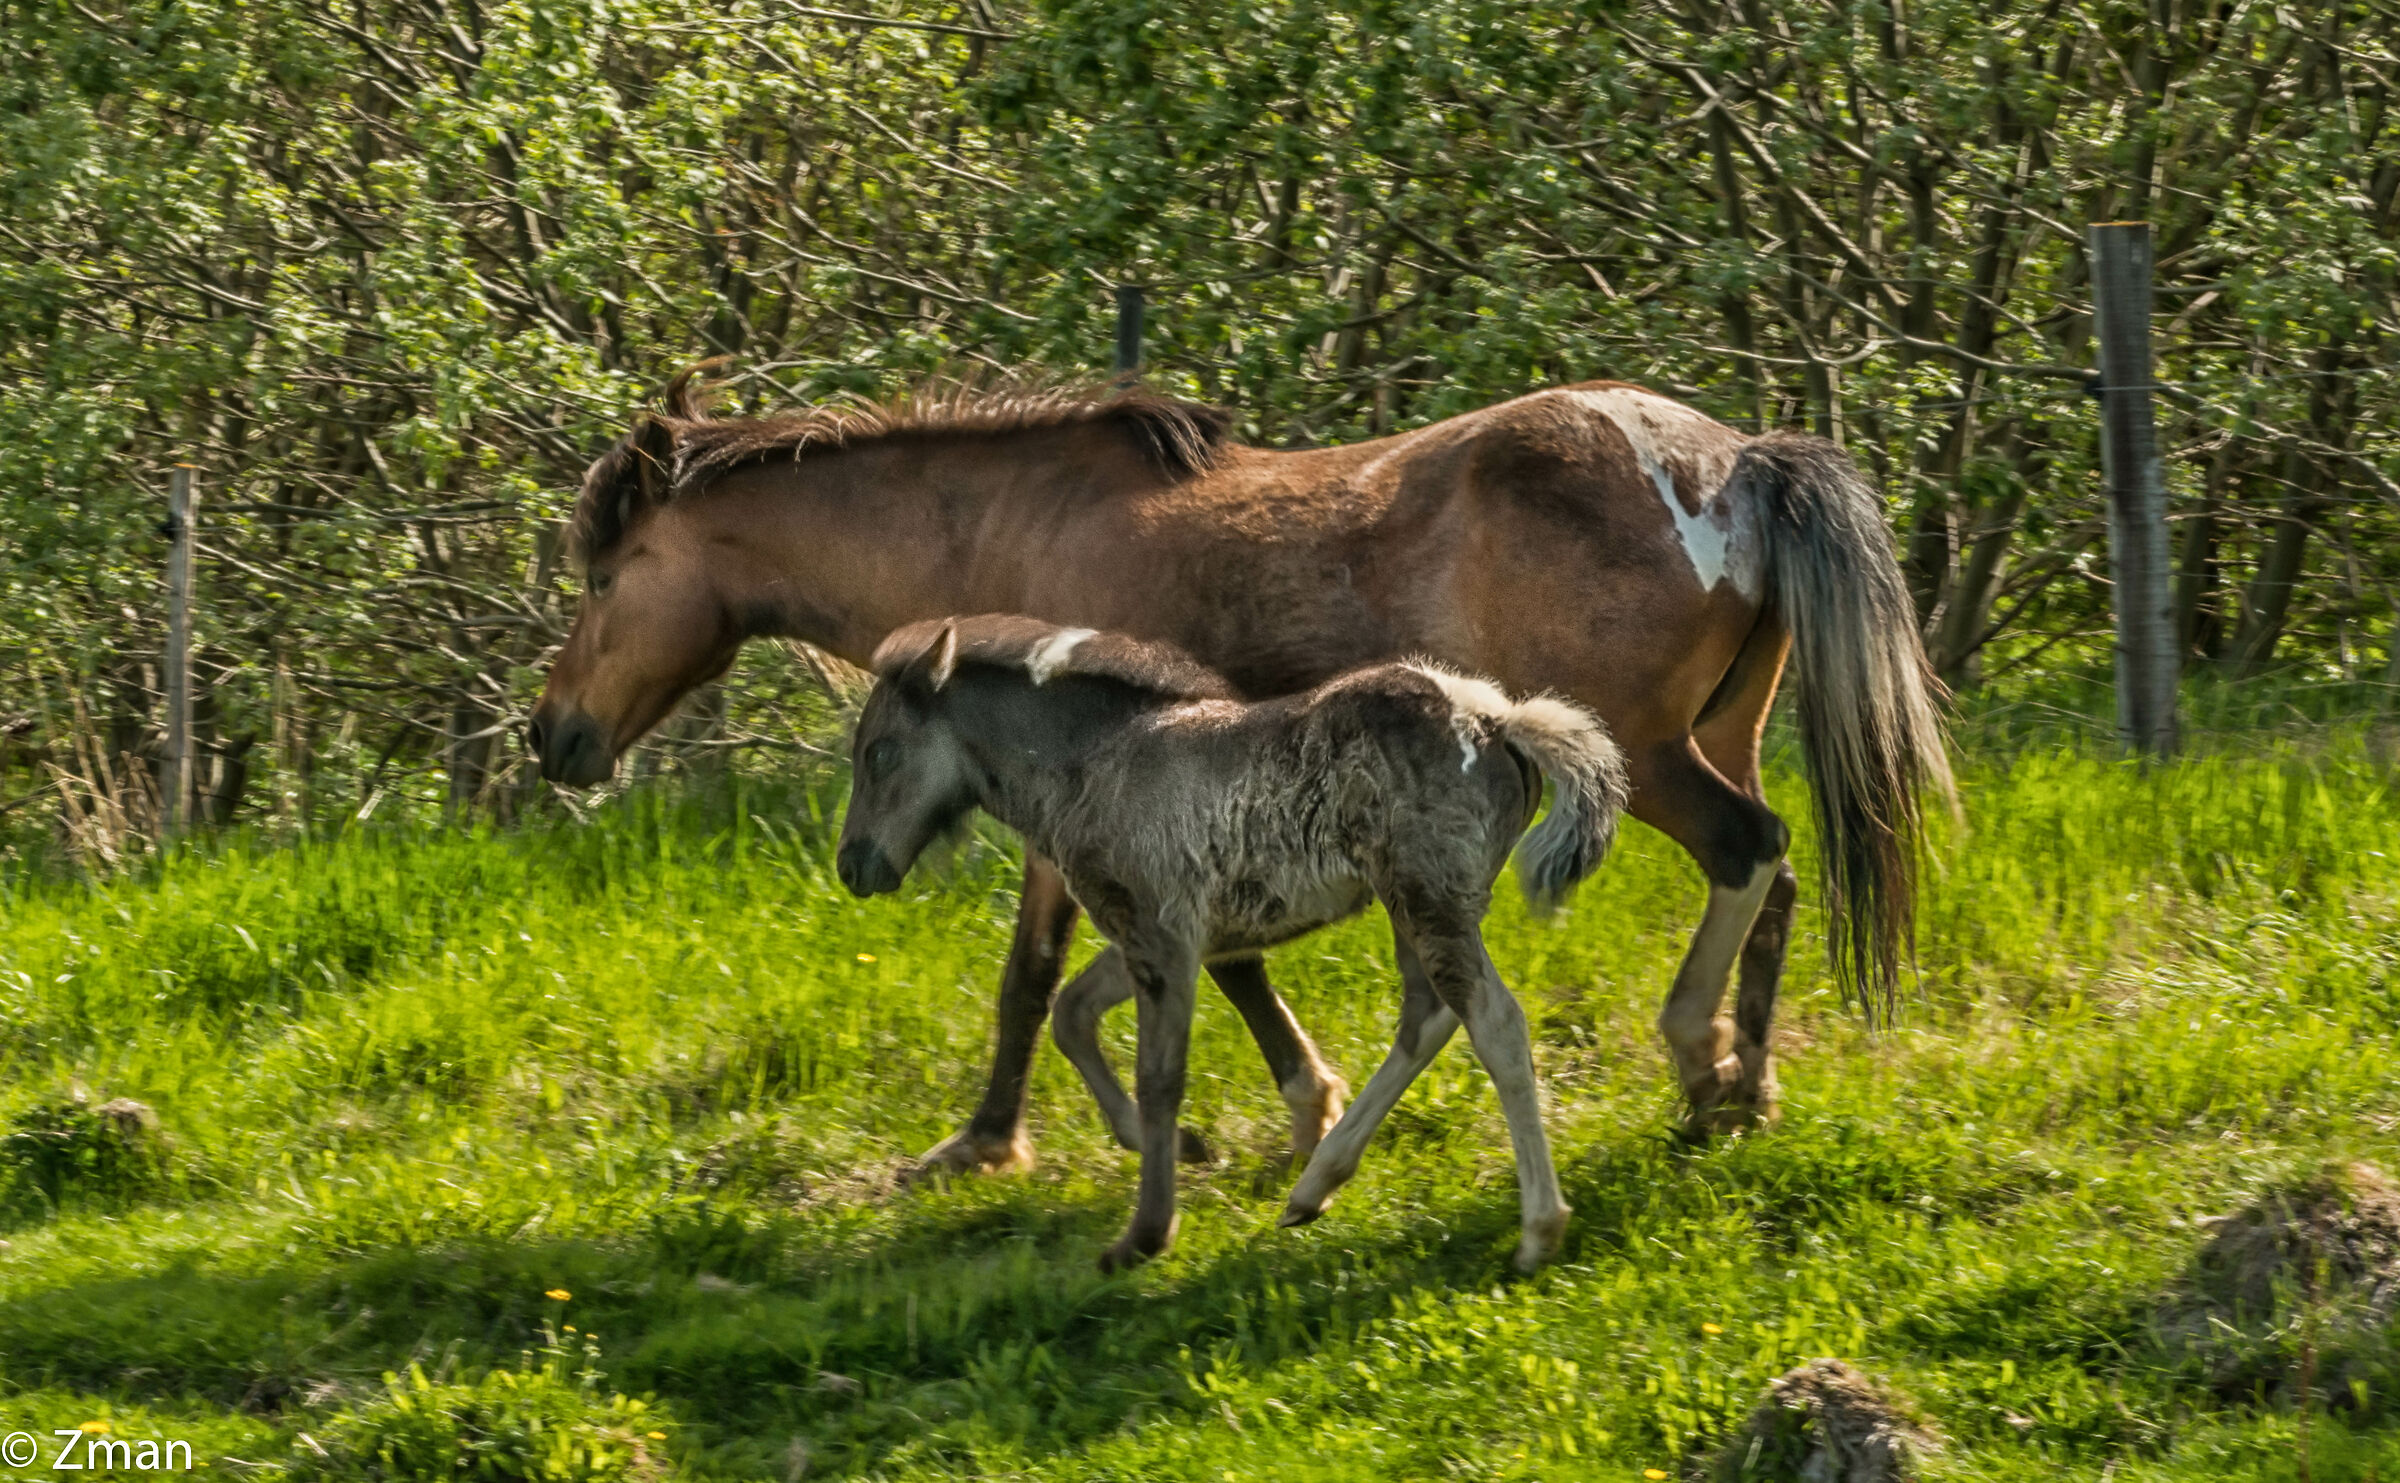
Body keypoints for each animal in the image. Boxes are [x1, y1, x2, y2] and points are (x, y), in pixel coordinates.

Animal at [527, 371, 1949, 1160]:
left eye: (603, 576)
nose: (552, 736)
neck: (997, 534)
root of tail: (1736, 465)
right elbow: (1217, 961)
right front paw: (1302, 1107)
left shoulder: (1082, 800)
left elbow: (1037, 979)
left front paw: (987, 1143)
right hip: (1723, 733)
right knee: (1775, 877)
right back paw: (1741, 1088)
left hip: (1649, 756)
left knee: (1749, 853)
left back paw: (1696, 1053)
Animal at [836, 615, 1627, 1270]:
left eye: (879, 753)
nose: (853, 865)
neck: (1097, 759)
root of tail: (1500, 720)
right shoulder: (1172, 939)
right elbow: (1072, 1013)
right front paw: (1184, 1149)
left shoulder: (1162, 940)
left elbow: (1159, 1076)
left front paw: (1144, 1236)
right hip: (1419, 907)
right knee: (1429, 1015)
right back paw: (1314, 1187)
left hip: (1428, 899)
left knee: (1492, 1022)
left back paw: (1538, 1230)